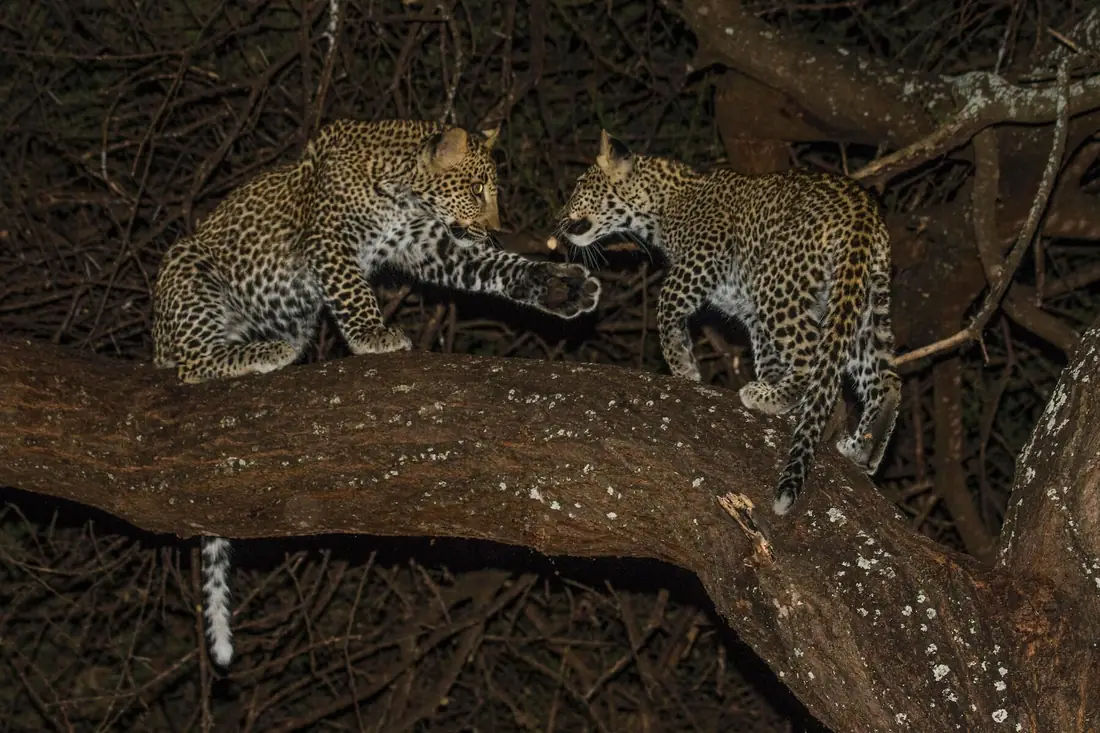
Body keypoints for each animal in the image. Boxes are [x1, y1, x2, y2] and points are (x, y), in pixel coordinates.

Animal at [152, 118, 601, 668]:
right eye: (477, 189)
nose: (494, 227)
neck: (402, 194)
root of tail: (157, 339)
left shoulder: (431, 246)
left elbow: (496, 266)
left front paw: (557, 287)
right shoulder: (329, 242)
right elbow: (351, 292)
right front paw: (372, 335)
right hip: (189, 274)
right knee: (193, 365)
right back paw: (265, 351)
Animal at [548, 130, 900, 517]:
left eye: (579, 185)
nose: (558, 218)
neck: (662, 204)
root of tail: (863, 208)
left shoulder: (704, 258)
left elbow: (666, 303)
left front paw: (684, 368)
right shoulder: (749, 312)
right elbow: (766, 355)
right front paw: (770, 382)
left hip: (777, 282)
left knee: (813, 360)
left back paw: (773, 400)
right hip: (861, 298)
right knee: (887, 379)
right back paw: (863, 447)